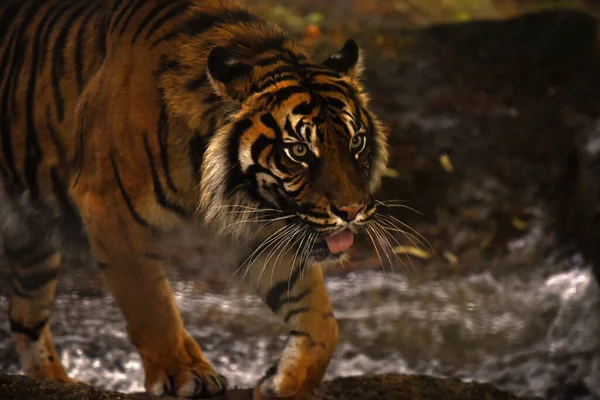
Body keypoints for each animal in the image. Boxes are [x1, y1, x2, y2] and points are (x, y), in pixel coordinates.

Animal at [0, 0, 390, 398]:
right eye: (298, 150)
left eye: (356, 142)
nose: (352, 211)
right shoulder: (109, 209)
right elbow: (151, 304)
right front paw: (183, 372)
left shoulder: (261, 234)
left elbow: (322, 321)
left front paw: (283, 382)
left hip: (33, 249)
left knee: (25, 320)